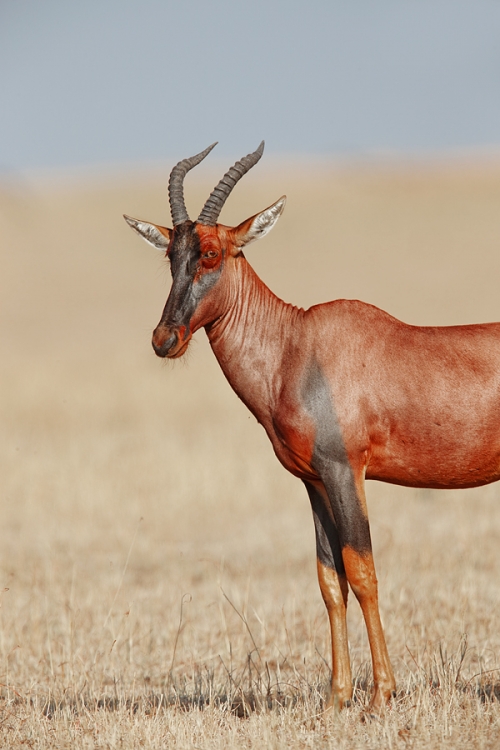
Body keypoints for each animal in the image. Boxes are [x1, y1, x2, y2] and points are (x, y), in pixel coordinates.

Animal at [123, 144, 500, 712]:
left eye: (212, 252)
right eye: (171, 254)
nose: (165, 339)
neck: (297, 346)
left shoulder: (346, 471)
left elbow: (362, 572)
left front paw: (380, 695)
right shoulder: (314, 481)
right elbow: (329, 580)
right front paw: (337, 697)